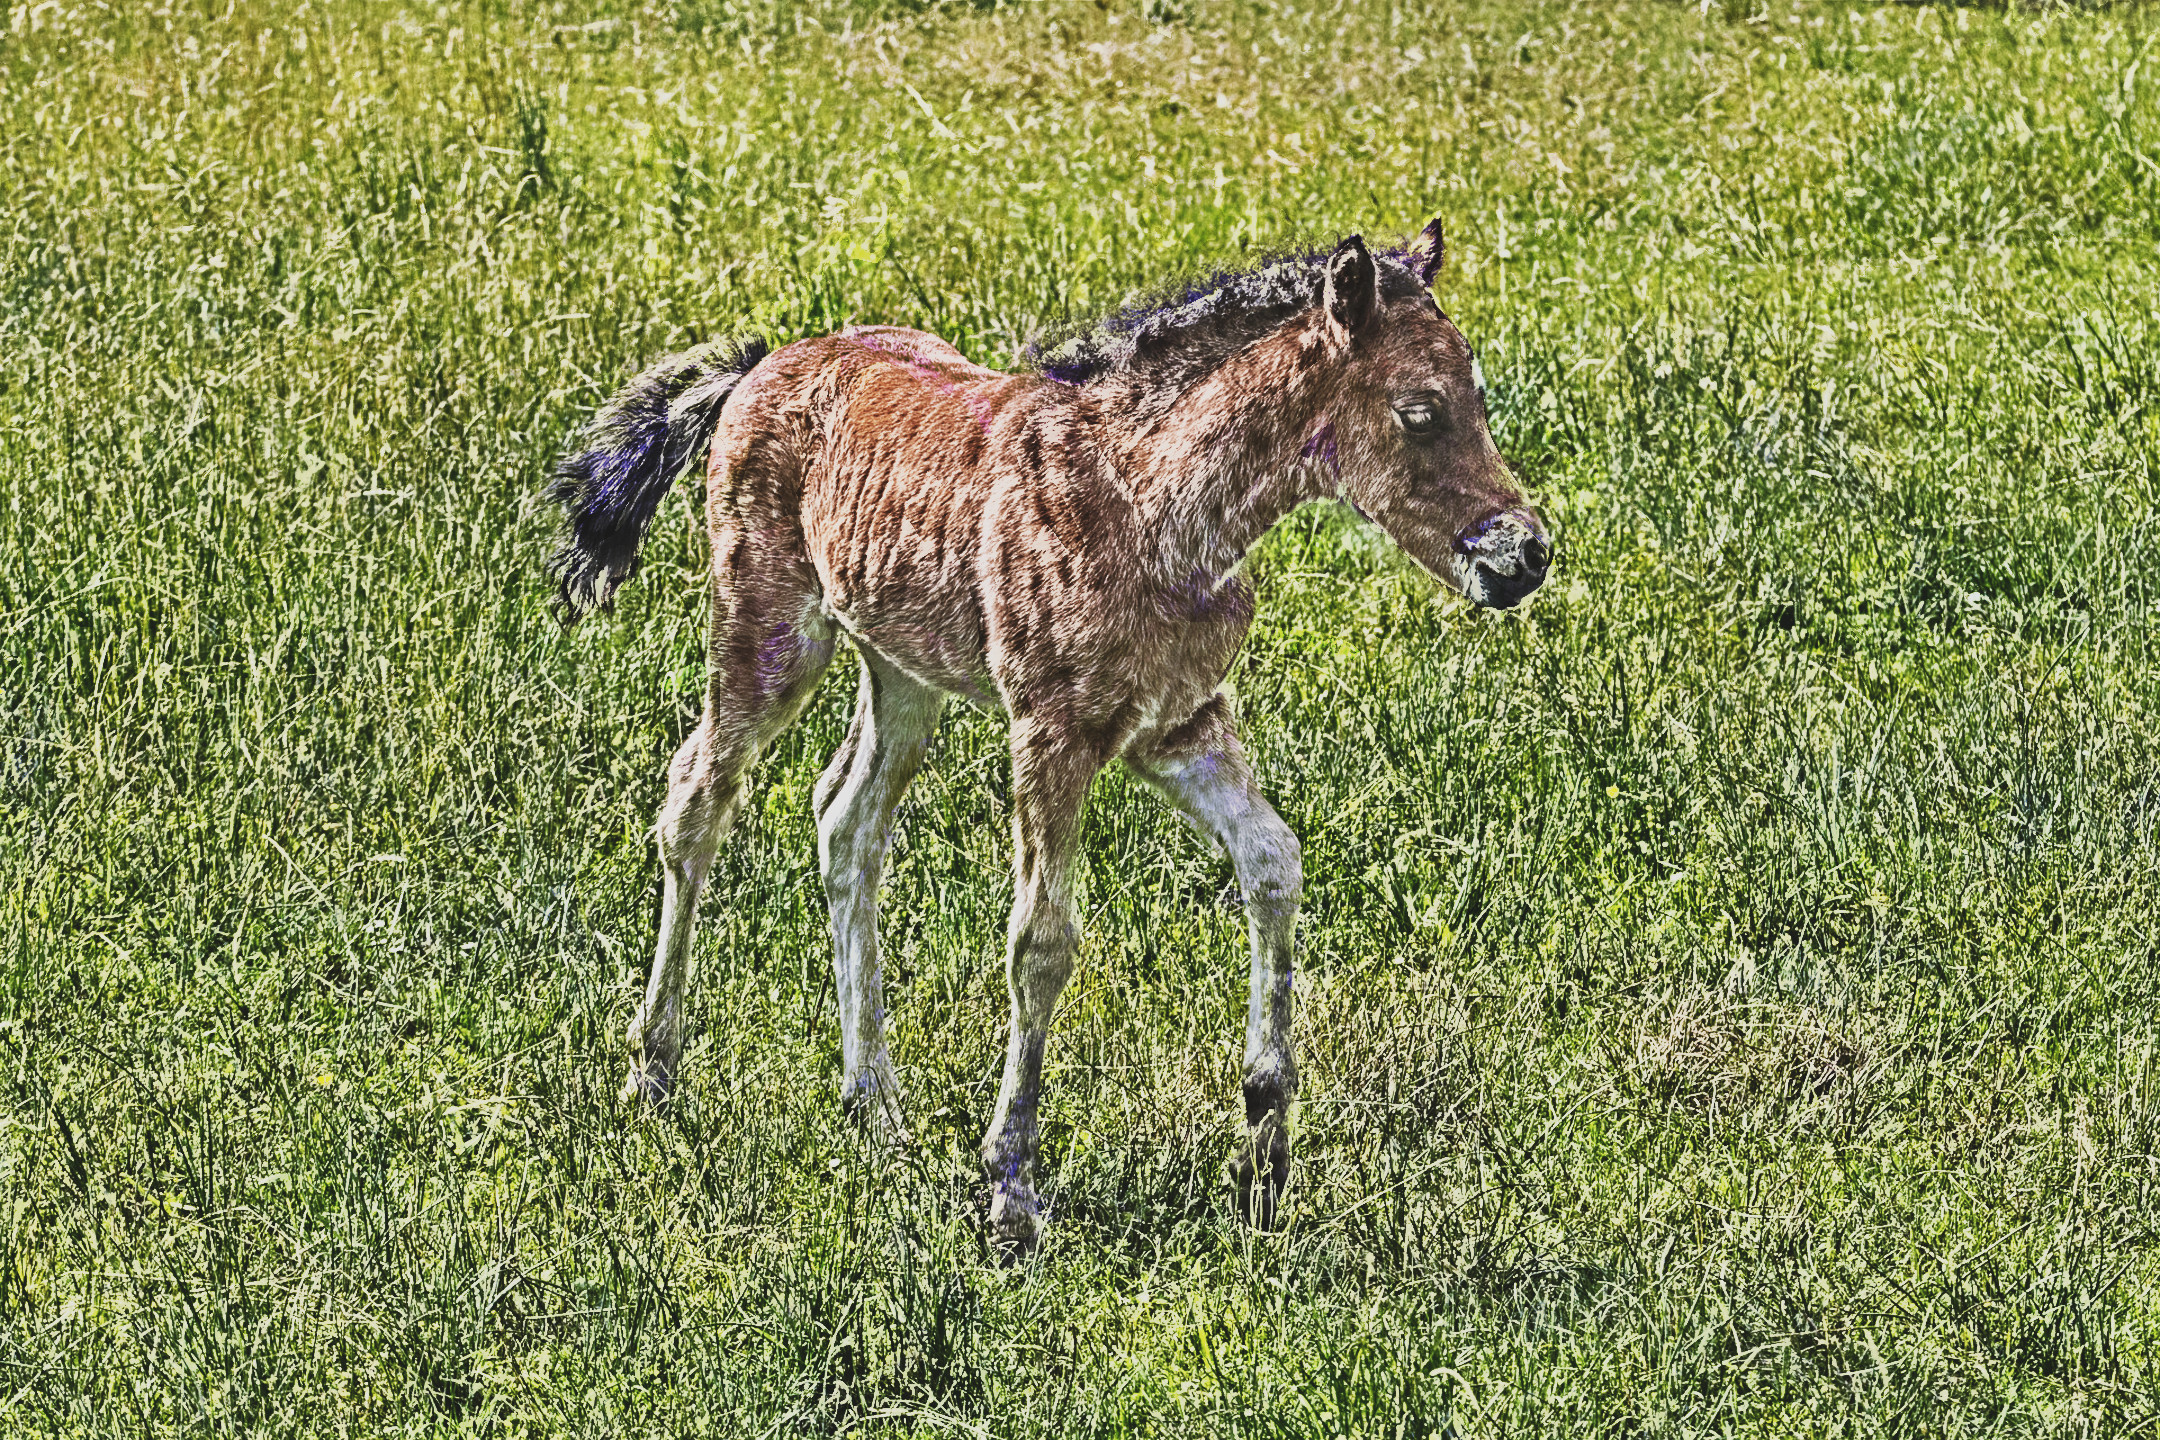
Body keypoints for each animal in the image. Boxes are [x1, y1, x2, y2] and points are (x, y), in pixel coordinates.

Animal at [546, 219, 1549, 1244]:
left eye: (1479, 395)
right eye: (1420, 413)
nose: (1524, 556)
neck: (1155, 504)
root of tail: (759, 365)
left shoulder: (1178, 726)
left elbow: (1274, 863)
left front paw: (1264, 1159)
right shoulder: (1052, 732)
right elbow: (1042, 943)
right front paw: (1010, 1190)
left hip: (903, 671)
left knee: (846, 822)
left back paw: (876, 1109)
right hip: (769, 630)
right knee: (696, 799)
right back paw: (654, 1075)